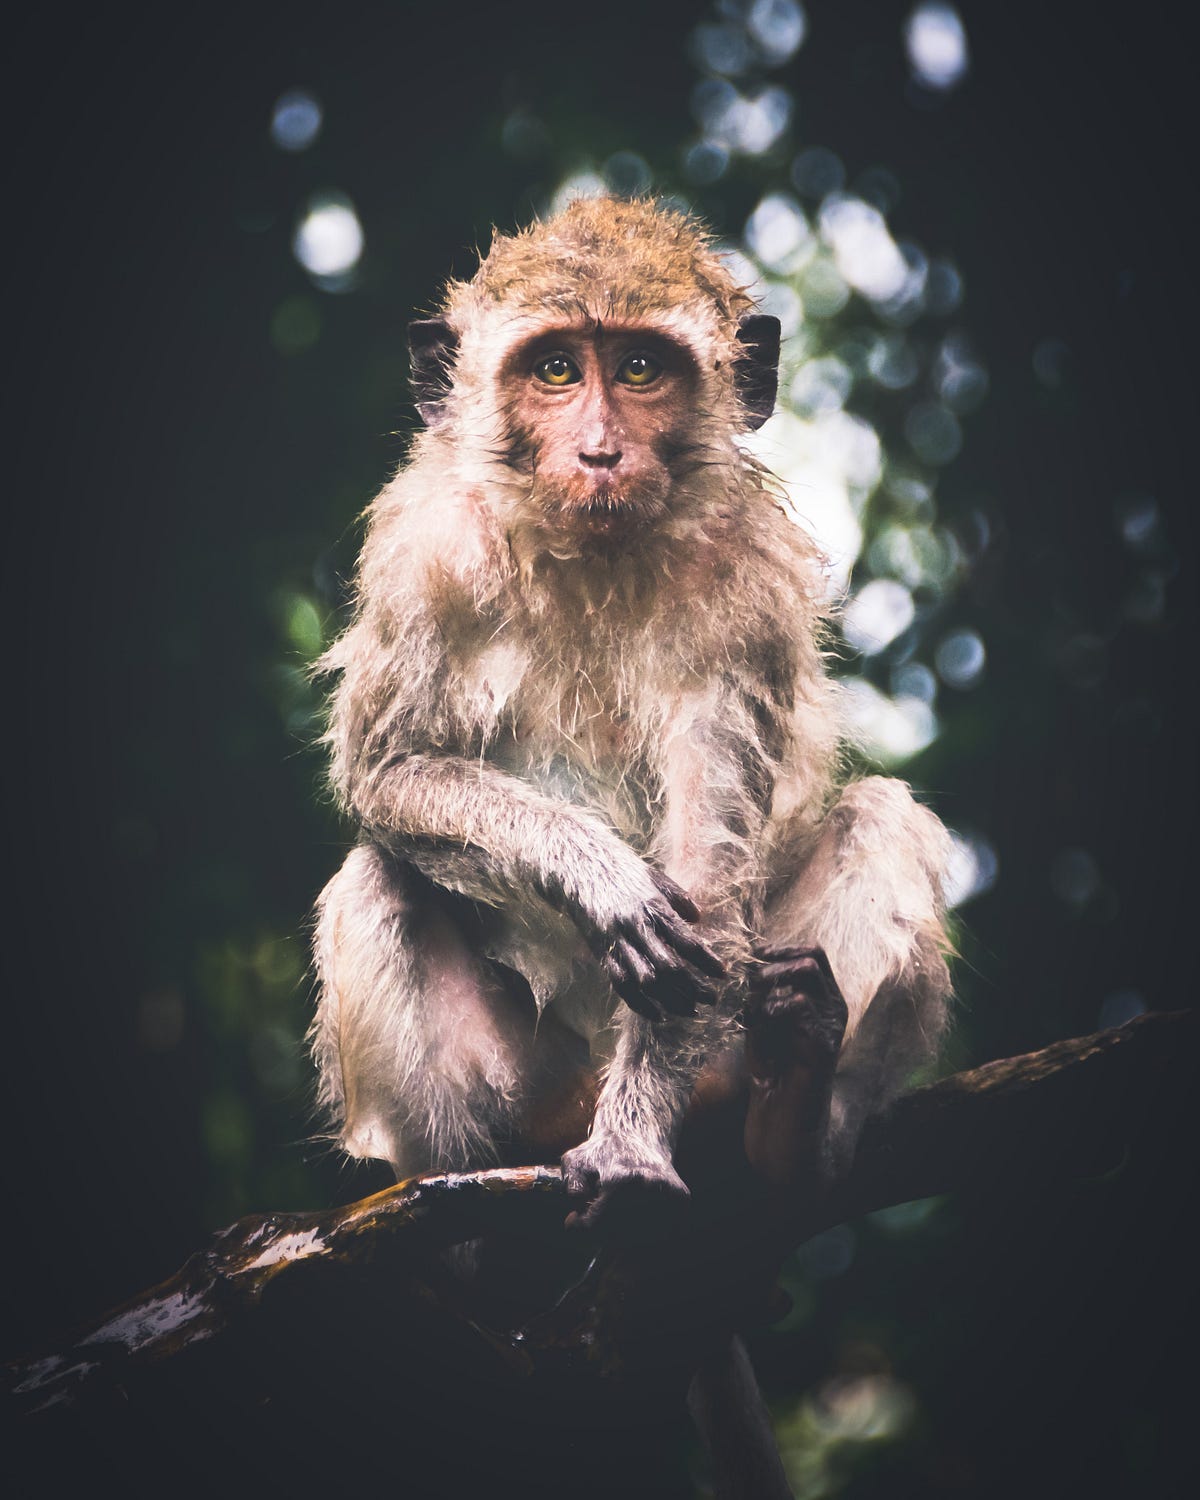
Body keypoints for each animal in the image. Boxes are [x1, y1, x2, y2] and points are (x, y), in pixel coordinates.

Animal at [309, 197, 952, 1223]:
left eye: (641, 368)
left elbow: (710, 859)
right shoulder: (423, 550)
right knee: (381, 877)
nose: (601, 452)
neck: (594, 558)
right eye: (557, 369)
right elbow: (387, 771)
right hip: (527, 1080)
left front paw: (633, 1145)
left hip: (723, 1051)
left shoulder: (748, 589)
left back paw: (794, 1114)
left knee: (878, 816)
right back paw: (458, 1177)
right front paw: (600, 877)